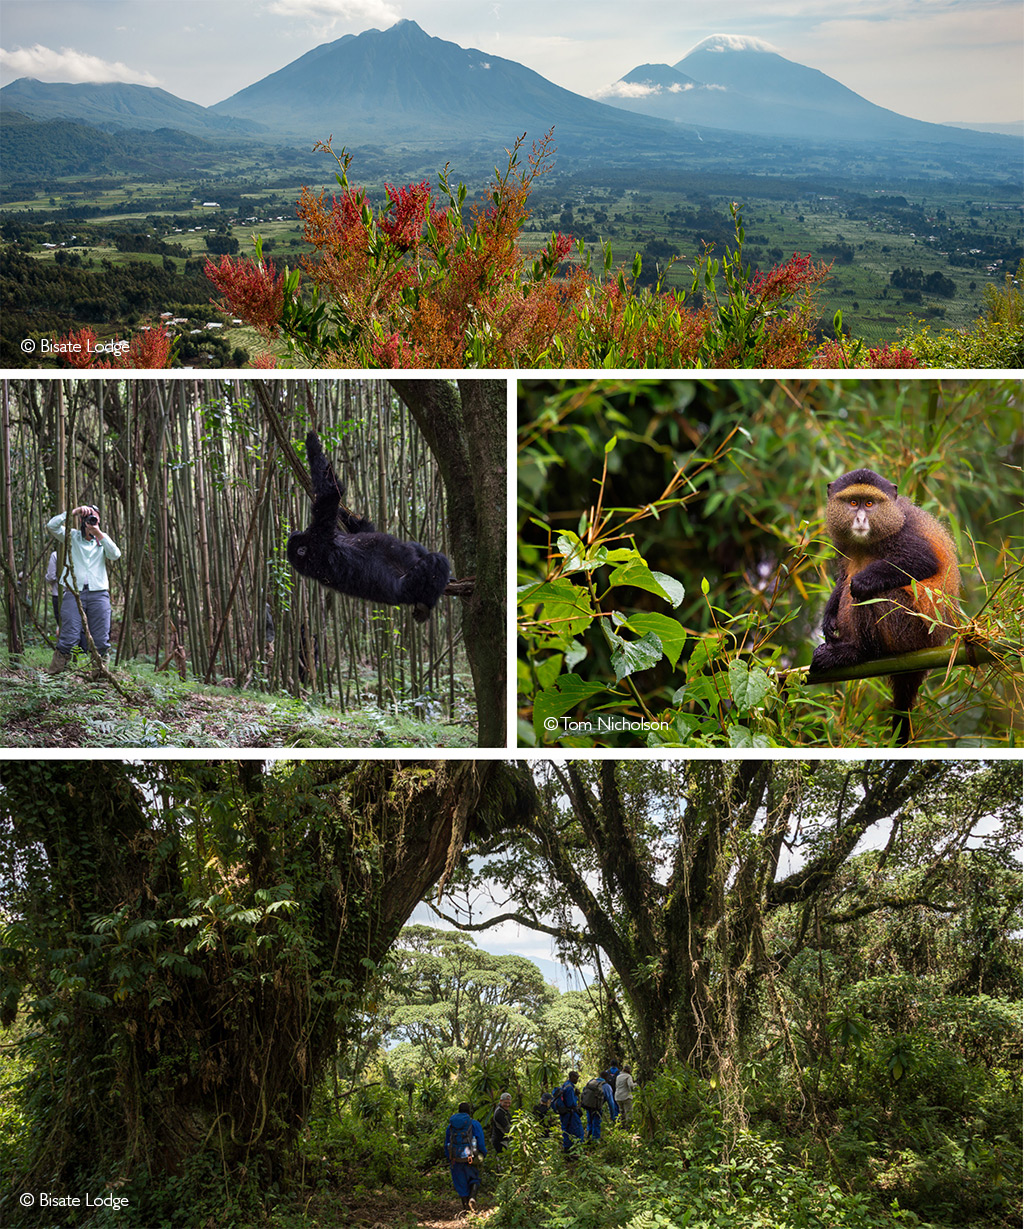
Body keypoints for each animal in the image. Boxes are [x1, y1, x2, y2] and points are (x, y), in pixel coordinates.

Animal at [285, 432, 449, 624]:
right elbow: (330, 493)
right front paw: (311, 442)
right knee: (436, 562)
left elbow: (361, 527)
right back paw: (425, 606)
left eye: (297, 534)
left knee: (413, 547)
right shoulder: (318, 537)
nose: (296, 531)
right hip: (410, 585)